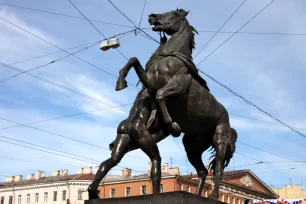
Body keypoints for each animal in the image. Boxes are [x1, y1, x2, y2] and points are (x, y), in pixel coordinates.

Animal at [115, 8, 237, 198]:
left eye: (173, 13)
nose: (152, 16)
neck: (169, 58)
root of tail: (228, 120)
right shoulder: (150, 83)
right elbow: (133, 60)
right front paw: (120, 81)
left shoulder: (177, 86)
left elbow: (161, 95)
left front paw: (172, 126)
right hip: (192, 145)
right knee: (202, 171)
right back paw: (198, 194)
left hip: (219, 138)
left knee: (218, 168)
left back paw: (214, 195)